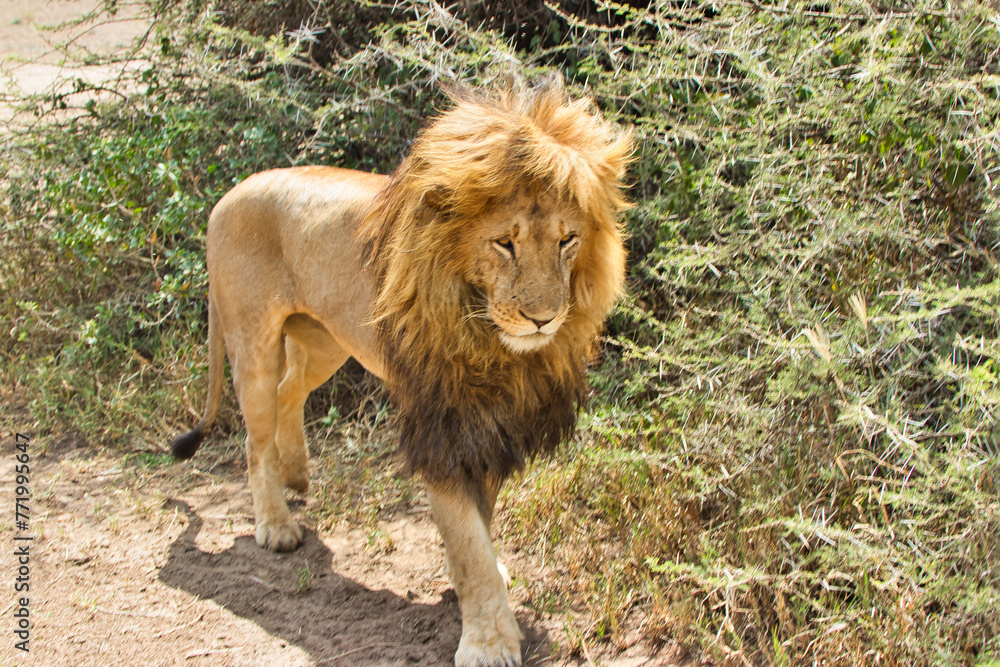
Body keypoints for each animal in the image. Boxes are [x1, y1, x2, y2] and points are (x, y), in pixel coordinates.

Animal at [169, 77, 631, 667]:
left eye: (567, 240)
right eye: (505, 243)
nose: (543, 318)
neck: (489, 341)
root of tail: (226, 196)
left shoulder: (489, 420)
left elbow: (482, 521)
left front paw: (480, 579)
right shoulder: (444, 420)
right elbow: (468, 542)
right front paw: (488, 640)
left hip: (326, 339)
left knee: (289, 393)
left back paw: (297, 474)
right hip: (253, 340)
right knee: (255, 433)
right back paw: (275, 525)